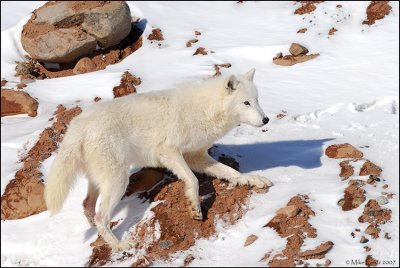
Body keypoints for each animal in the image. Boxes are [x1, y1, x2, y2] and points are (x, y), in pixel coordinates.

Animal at [45, 68, 274, 249]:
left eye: (257, 100)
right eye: (245, 103)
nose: (266, 119)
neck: (205, 110)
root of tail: (78, 125)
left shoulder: (196, 157)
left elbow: (231, 172)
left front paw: (254, 180)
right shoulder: (168, 152)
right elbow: (193, 180)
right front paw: (194, 208)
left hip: (100, 181)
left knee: (87, 205)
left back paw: (97, 230)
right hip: (118, 181)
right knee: (102, 216)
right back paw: (119, 245)